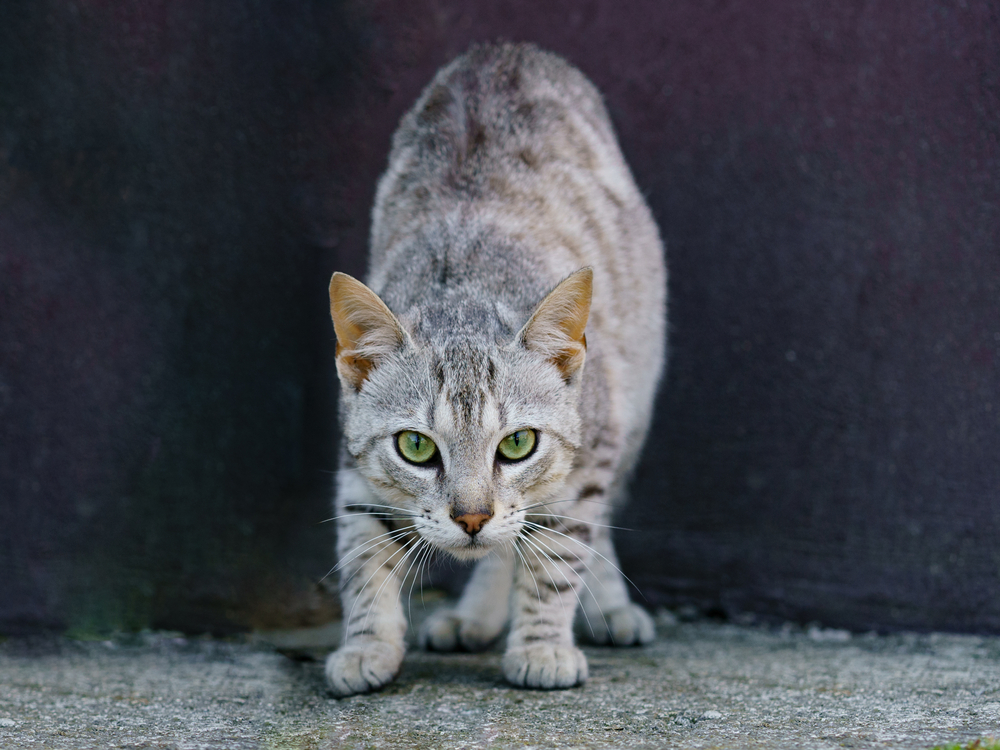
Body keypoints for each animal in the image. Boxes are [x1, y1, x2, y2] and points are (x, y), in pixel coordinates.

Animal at [326, 42, 664, 700]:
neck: (466, 289)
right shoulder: (355, 456)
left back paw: (607, 606)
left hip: (634, 395)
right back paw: (475, 615)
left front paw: (541, 646)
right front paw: (366, 646)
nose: (472, 518)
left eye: (517, 443)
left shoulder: (589, 450)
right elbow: (362, 555)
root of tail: (507, 51)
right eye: (415, 446)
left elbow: (558, 556)